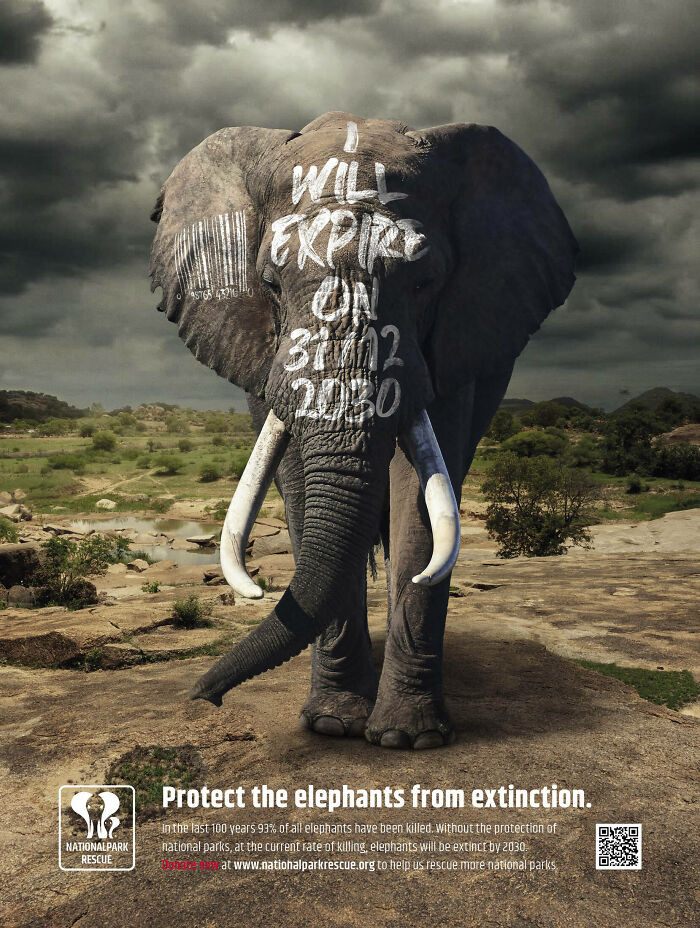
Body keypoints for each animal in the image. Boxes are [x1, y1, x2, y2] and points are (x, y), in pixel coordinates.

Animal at [149, 111, 577, 749]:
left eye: (425, 283)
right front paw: (332, 725)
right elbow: (299, 485)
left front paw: (408, 738)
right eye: (270, 285)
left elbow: (420, 498)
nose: (204, 698)